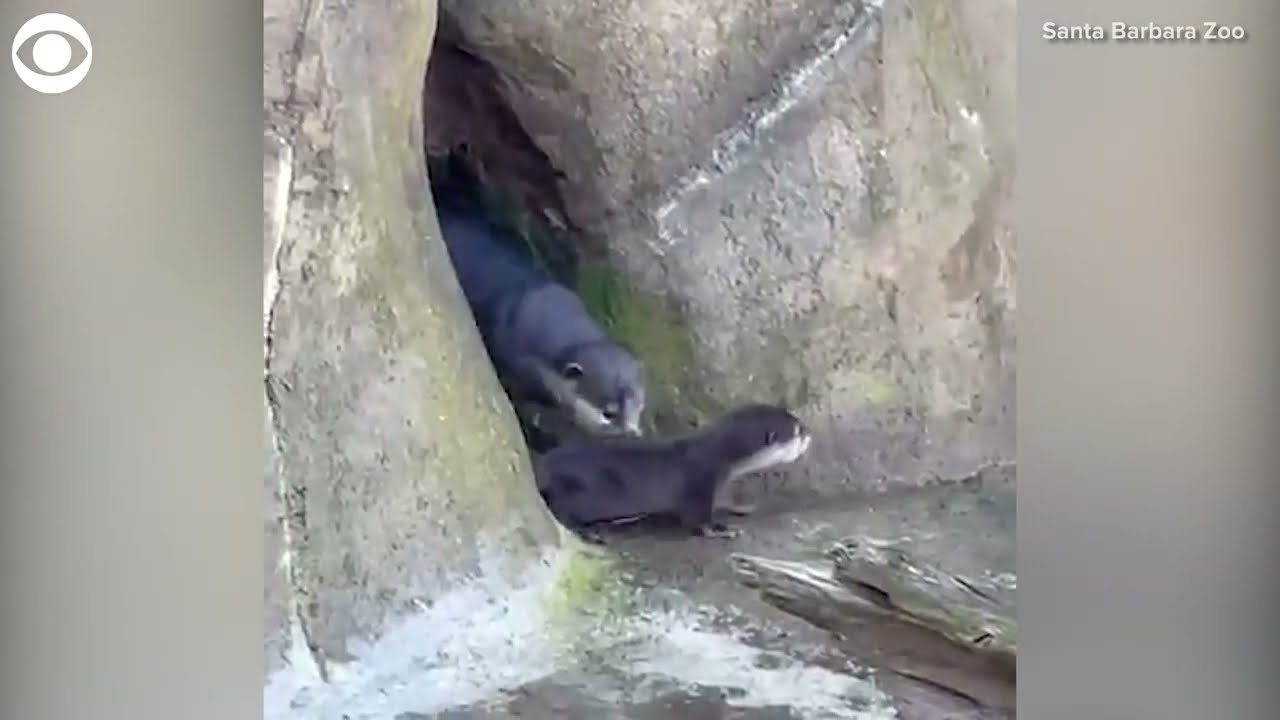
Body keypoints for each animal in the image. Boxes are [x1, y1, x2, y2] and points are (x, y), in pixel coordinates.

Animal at [535, 404, 812, 541]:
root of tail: (542, 467)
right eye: (797, 430)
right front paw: (721, 529)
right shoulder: (700, 484)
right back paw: (591, 532)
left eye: (798, 422)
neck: (717, 457)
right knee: (562, 512)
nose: (809, 434)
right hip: (577, 491)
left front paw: (740, 506)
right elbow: (696, 519)